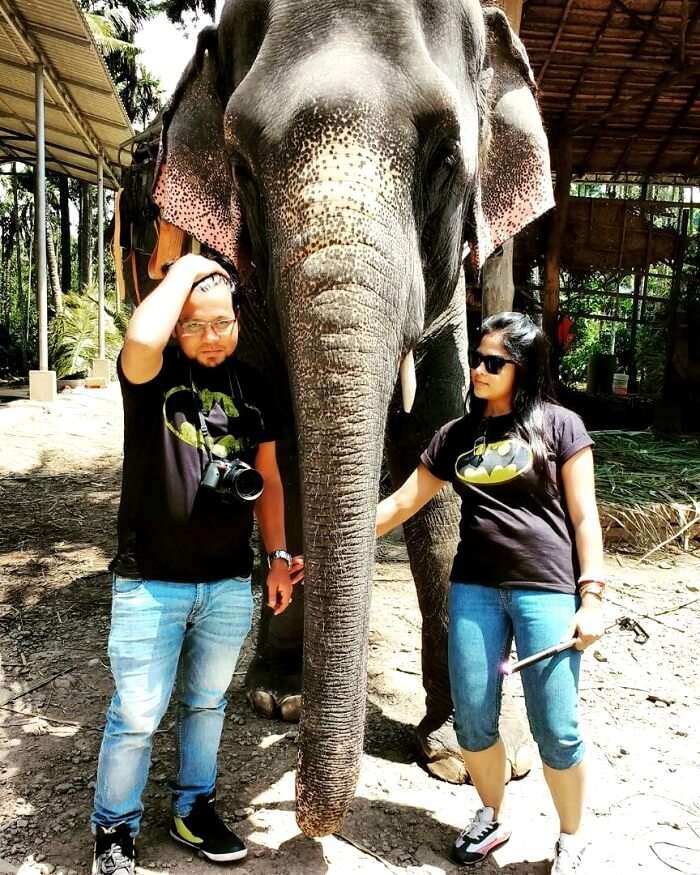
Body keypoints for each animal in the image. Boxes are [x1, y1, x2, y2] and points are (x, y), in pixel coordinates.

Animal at [145, 0, 556, 840]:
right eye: (241, 165)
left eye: (445, 156)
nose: (303, 823)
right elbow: (286, 461)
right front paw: (281, 696)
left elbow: (445, 458)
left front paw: (469, 756)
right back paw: (277, 693)